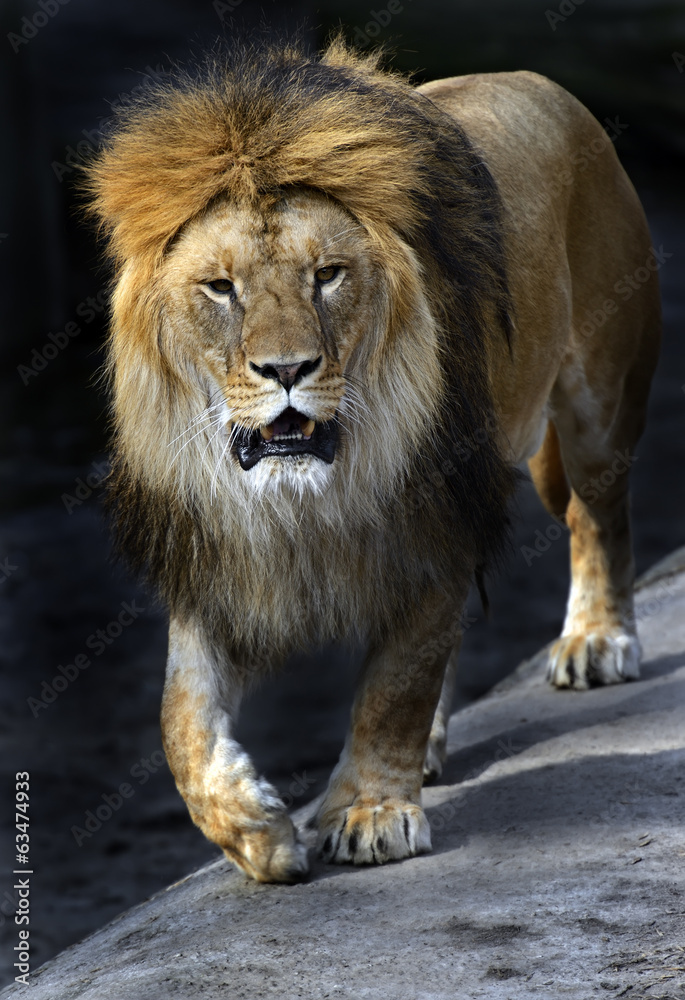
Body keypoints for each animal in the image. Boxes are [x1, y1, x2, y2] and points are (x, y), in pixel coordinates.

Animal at [86, 40, 660, 882]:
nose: (286, 369)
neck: (305, 496)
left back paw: (596, 639)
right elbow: (179, 719)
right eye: (220, 288)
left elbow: (395, 686)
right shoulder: (223, 556)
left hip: (597, 400)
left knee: (599, 518)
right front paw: (254, 831)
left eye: (327, 274)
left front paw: (369, 814)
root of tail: (532, 79)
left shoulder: (432, 520)